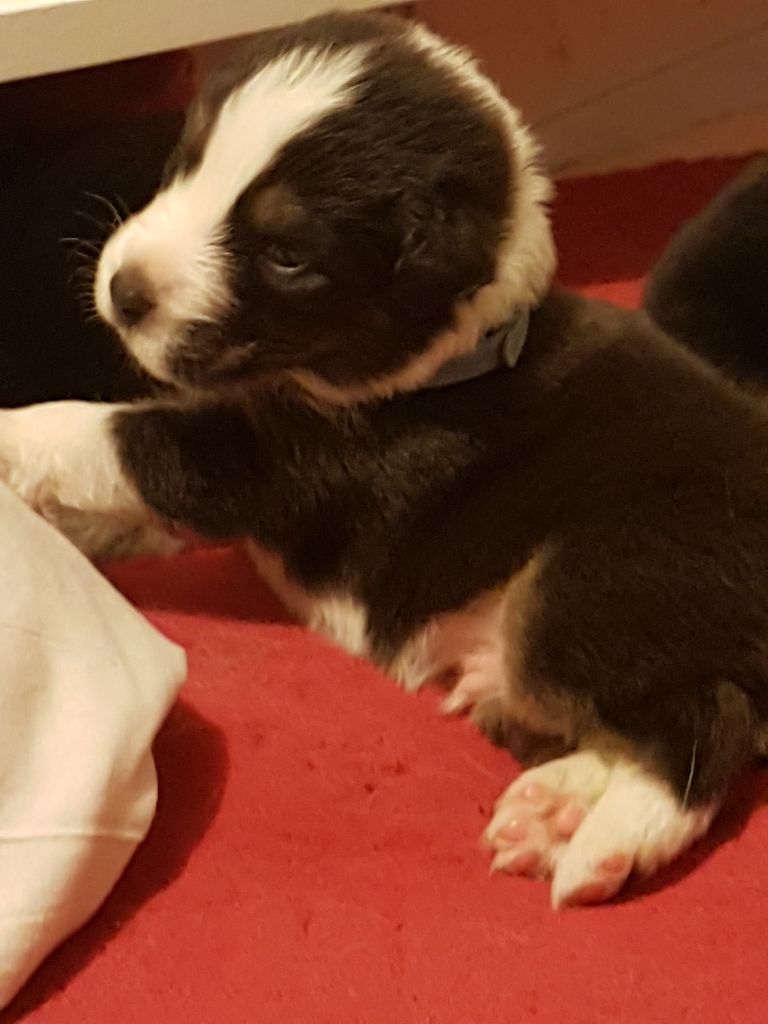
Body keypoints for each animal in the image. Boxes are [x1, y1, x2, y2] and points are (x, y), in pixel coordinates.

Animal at [1, 10, 768, 908]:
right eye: (188, 161)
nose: (123, 292)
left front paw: (13, 438)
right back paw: (553, 801)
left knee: (704, 727)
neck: (447, 358)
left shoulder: (270, 463)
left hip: (599, 575)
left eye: (287, 255)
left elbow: (106, 437)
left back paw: (604, 840)